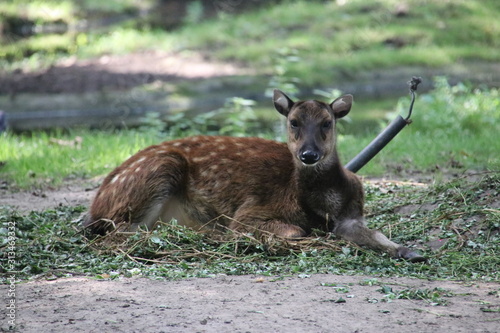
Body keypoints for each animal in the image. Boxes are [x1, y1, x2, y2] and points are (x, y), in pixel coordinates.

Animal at [85, 89, 426, 260]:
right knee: (120, 232)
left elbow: (376, 234)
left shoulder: (353, 215)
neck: (319, 205)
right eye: (293, 121)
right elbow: (295, 231)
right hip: (157, 171)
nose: (309, 155)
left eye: (327, 122)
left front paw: (410, 251)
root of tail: (95, 205)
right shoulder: (250, 213)